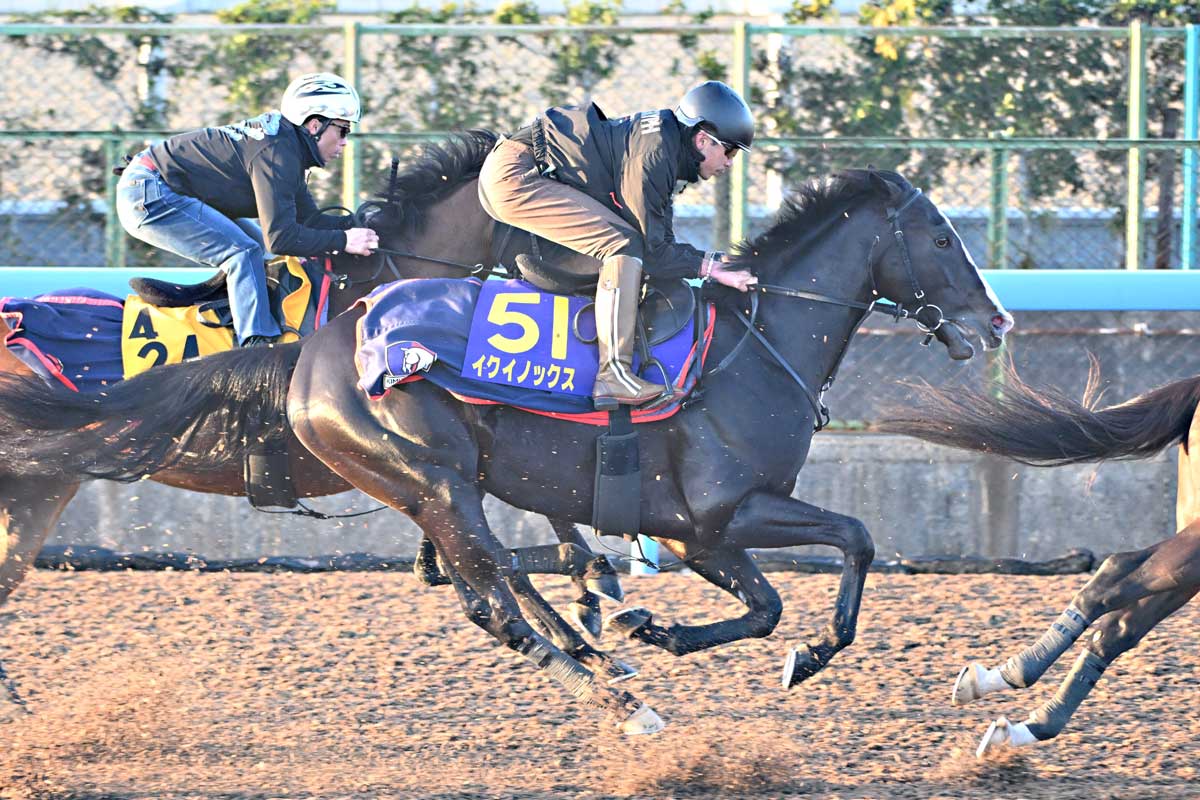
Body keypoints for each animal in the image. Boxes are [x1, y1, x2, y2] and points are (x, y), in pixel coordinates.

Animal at [0, 167, 1017, 734]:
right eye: (942, 235)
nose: (997, 323)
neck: (755, 344)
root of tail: (310, 358)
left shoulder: (697, 533)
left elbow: (763, 604)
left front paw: (652, 628)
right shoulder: (729, 512)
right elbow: (854, 540)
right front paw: (783, 650)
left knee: (488, 592)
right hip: (430, 480)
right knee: (490, 592)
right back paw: (625, 708)